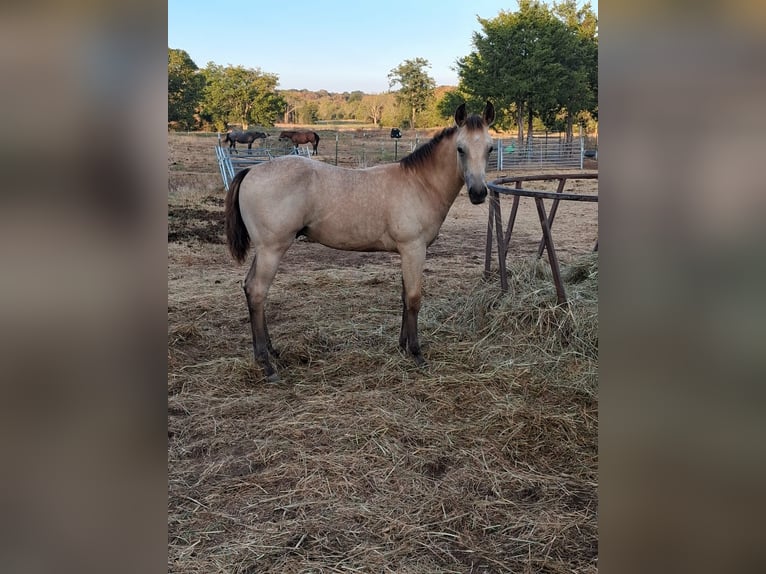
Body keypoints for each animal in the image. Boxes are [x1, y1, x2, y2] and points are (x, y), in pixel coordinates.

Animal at [225, 102, 495, 382]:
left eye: (490, 148)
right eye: (460, 149)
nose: (478, 193)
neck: (420, 183)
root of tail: (251, 170)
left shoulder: (406, 252)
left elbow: (403, 296)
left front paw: (402, 346)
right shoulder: (414, 249)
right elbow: (413, 299)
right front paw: (416, 353)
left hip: (263, 251)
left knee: (249, 288)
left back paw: (271, 351)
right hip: (271, 250)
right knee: (257, 291)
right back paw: (266, 364)